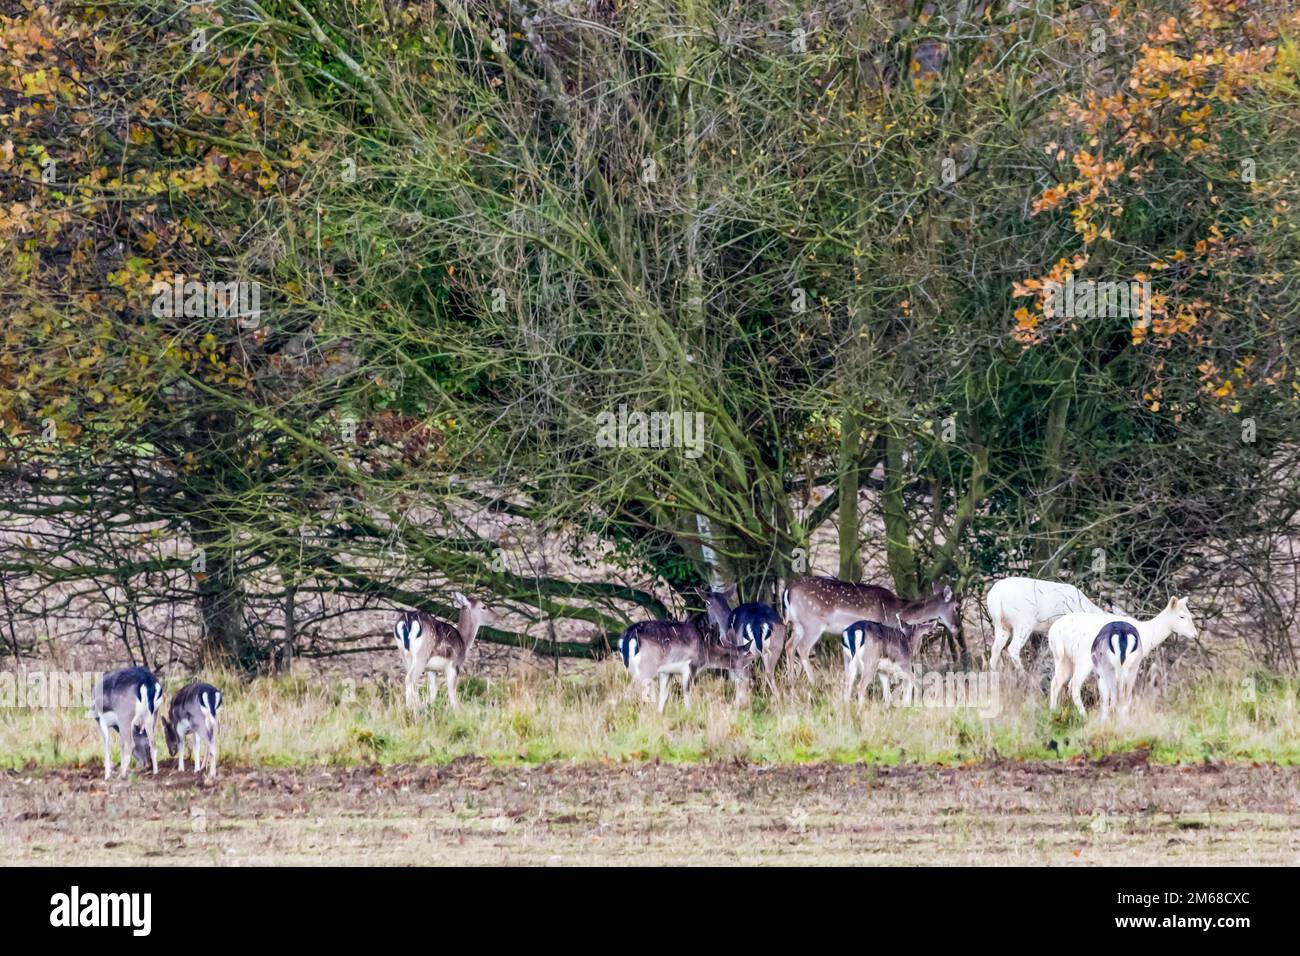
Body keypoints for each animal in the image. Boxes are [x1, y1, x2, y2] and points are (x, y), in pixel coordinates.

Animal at [1045, 598, 1196, 717]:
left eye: (1190, 615)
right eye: (1182, 616)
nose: (1194, 634)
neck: (1148, 634)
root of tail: (1055, 632)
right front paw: (1116, 710)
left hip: (1062, 658)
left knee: (1056, 682)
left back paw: (1053, 711)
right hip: (1084, 658)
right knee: (1074, 684)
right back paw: (1083, 715)